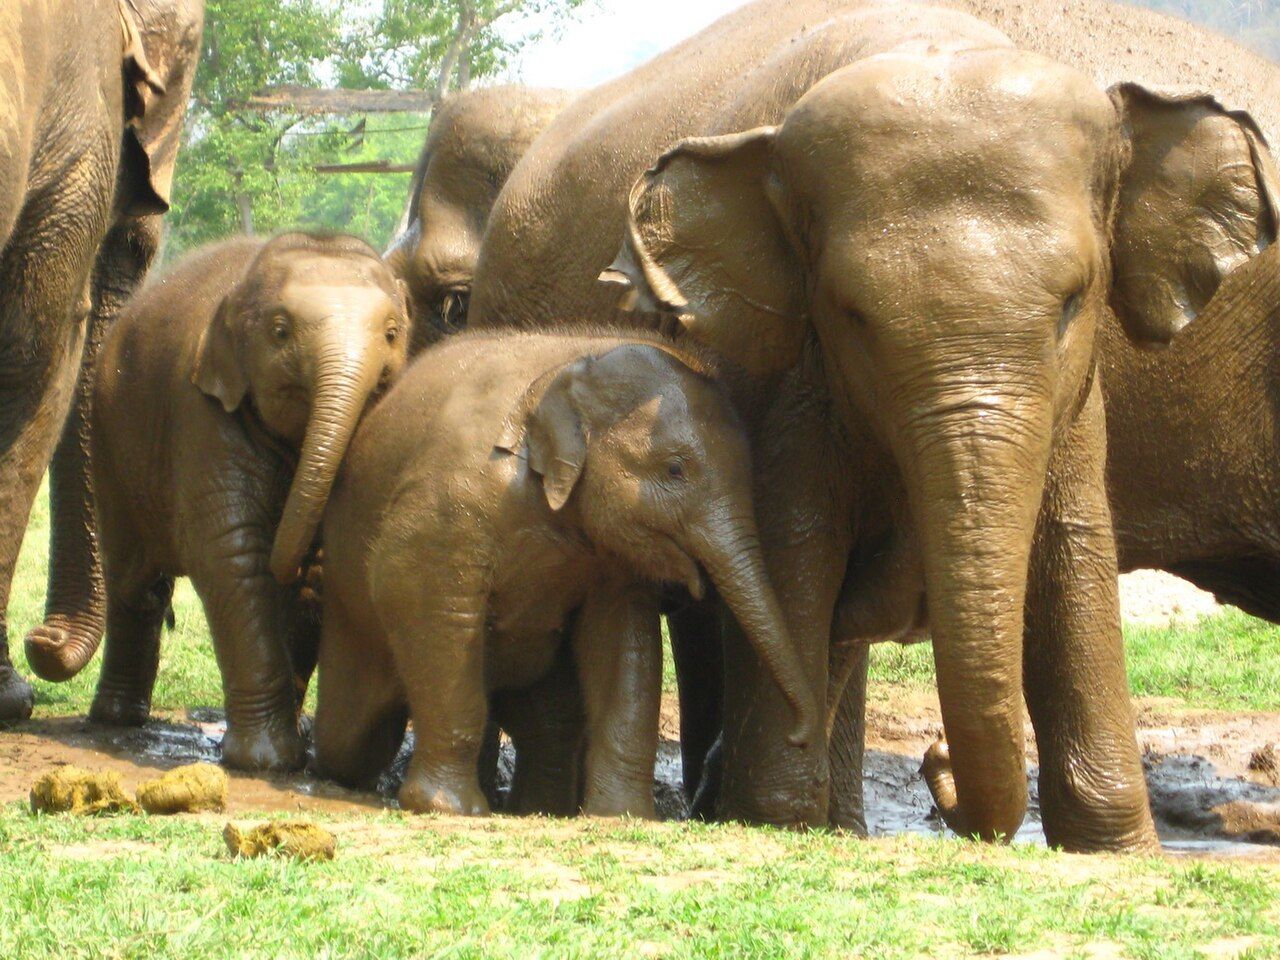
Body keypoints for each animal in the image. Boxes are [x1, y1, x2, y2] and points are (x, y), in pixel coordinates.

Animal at [82, 232, 410, 771]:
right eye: (279, 331)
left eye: (391, 332)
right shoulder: (202, 413)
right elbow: (231, 556)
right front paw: (266, 761)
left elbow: (318, 570)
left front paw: (294, 745)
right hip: (109, 439)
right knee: (136, 582)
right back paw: (117, 719)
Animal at [311, 329, 819, 818]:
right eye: (675, 469)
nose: (800, 736)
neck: (573, 366)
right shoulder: (452, 496)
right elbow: (419, 594)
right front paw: (452, 810)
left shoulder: (617, 560)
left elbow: (624, 644)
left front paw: (620, 817)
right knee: (350, 731)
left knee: (547, 721)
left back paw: (540, 809)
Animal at [460, 0, 1276, 851]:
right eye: (853, 317)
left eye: (1073, 302)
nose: (935, 760)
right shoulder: (778, 367)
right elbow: (796, 545)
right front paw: (772, 809)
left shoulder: (1079, 393)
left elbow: (1073, 541)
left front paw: (1111, 847)